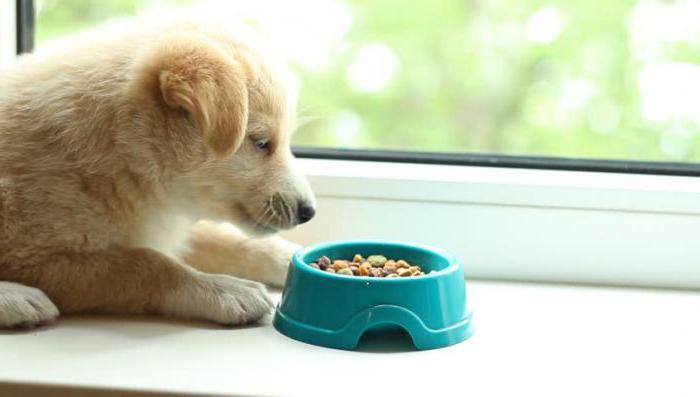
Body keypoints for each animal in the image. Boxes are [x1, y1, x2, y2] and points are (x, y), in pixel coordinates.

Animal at [0, 18, 314, 326]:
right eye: (261, 143)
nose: (308, 212)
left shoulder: (169, 221)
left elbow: (226, 241)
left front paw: (290, 255)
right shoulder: (34, 258)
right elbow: (145, 263)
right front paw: (225, 289)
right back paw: (17, 299)